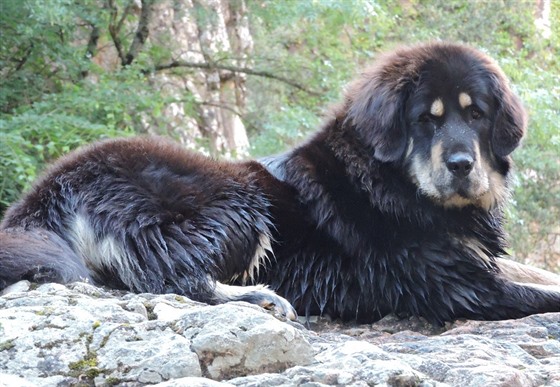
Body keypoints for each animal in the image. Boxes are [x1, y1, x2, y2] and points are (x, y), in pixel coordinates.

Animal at [1, 44, 560, 326]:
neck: (389, 183)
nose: (463, 164)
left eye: (477, 114)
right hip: (235, 203)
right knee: (172, 278)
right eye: (427, 119)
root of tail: (50, 188)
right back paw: (260, 299)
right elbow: (543, 292)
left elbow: (539, 273)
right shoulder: (463, 287)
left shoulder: (478, 262)